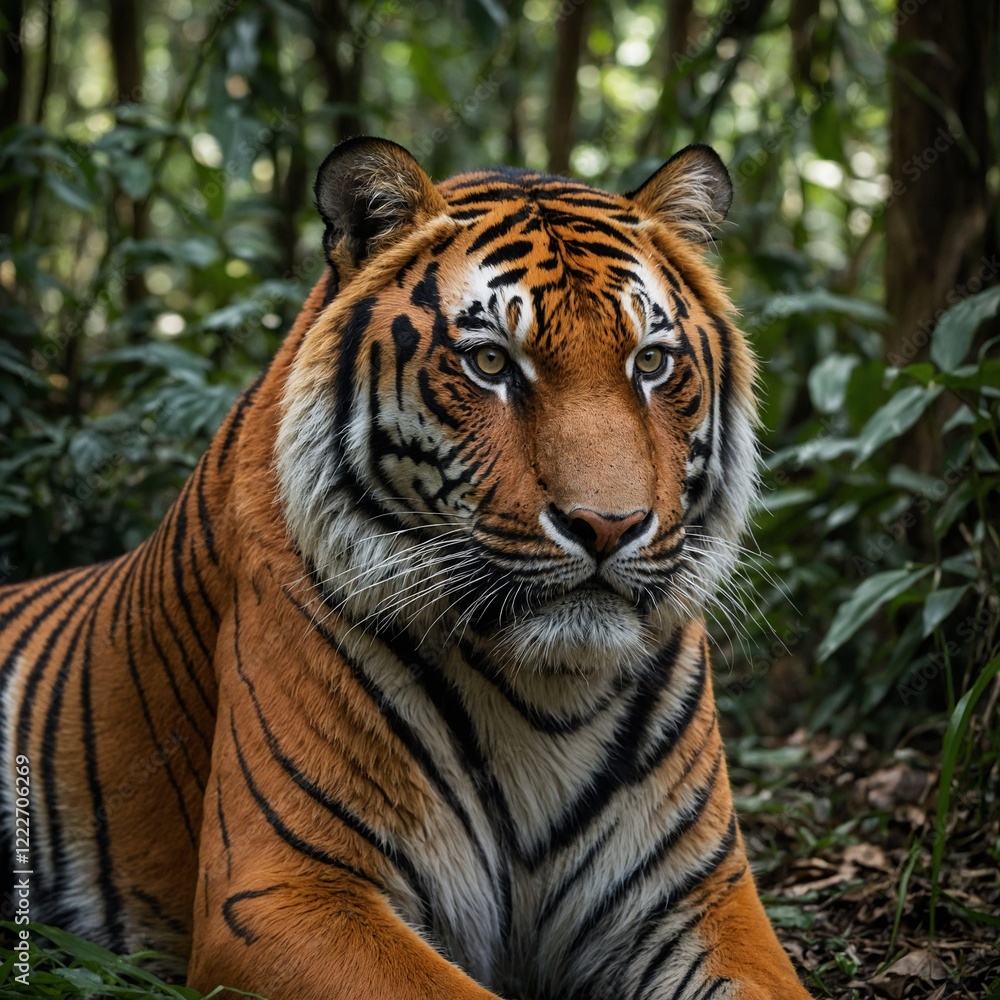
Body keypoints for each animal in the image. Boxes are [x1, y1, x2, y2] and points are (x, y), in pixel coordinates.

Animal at [0, 136, 812, 1000]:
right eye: (490, 362)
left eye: (652, 363)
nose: (607, 526)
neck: (548, 694)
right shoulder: (283, 889)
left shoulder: (697, 895)